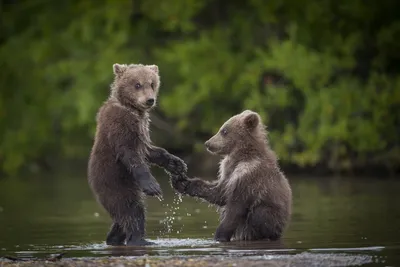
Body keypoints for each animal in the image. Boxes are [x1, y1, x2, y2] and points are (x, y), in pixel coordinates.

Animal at [87, 62, 186, 247]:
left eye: (152, 84)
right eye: (137, 84)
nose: (149, 100)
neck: (132, 109)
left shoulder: (143, 128)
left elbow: (150, 151)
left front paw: (177, 164)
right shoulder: (119, 126)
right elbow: (131, 156)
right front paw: (153, 186)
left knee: (123, 217)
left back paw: (114, 237)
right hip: (115, 182)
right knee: (131, 209)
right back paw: (140, 239)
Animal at [169, 110, 290, 243]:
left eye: (224, 131)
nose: (207, 143)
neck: (242, 156)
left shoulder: (249, 175)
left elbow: (235, 208)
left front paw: (219, 236)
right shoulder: (227, 172)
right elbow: (219, 193)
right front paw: (182, 182)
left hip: (273, 216)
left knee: (260, 214)